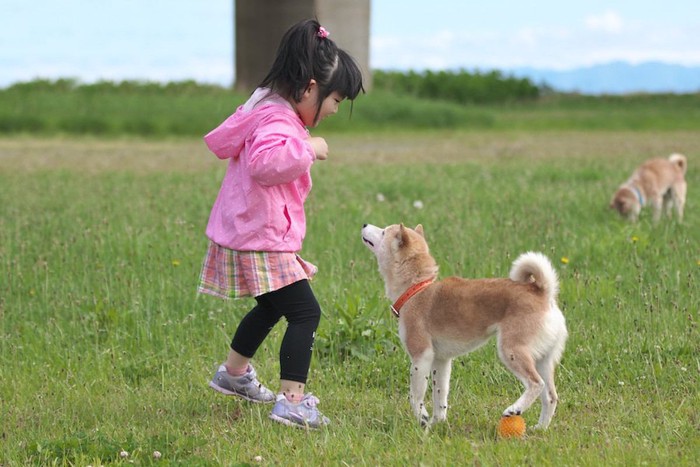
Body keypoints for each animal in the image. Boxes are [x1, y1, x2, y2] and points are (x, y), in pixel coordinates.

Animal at [360, 225, 568, 430]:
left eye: (384, 231)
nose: (364, 225)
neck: (416, 289)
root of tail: (543, 293)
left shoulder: (421, 356)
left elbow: (415, 396)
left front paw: (423, 419)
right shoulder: (441, 361)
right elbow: (440, 396)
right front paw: (437, 424)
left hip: (511, 350)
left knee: (536, 383)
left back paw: (515, 409)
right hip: (543, 359)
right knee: (551, 396)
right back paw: (540, 428)